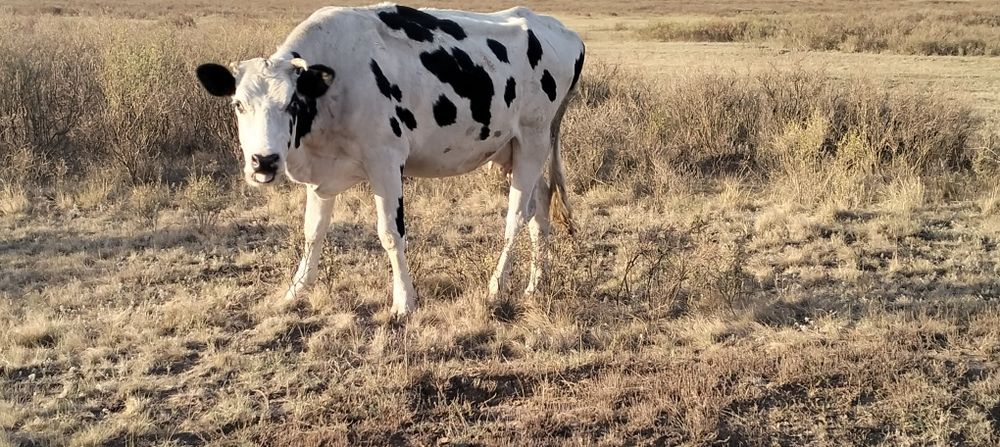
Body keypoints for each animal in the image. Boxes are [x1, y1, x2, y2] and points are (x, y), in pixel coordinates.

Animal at [195, 3, 585, 317]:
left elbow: (390, 233)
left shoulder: (385, 161)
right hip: (514, 149)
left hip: (533, 138)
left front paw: (404, 302)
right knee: (540, 208)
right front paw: (297, 289)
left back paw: (496, 285)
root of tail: (559, 29)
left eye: (291, 103)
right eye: (238, 104)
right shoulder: (322, 175)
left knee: (515, 216)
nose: (264, 161)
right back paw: (536, 283)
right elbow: (313, 232)